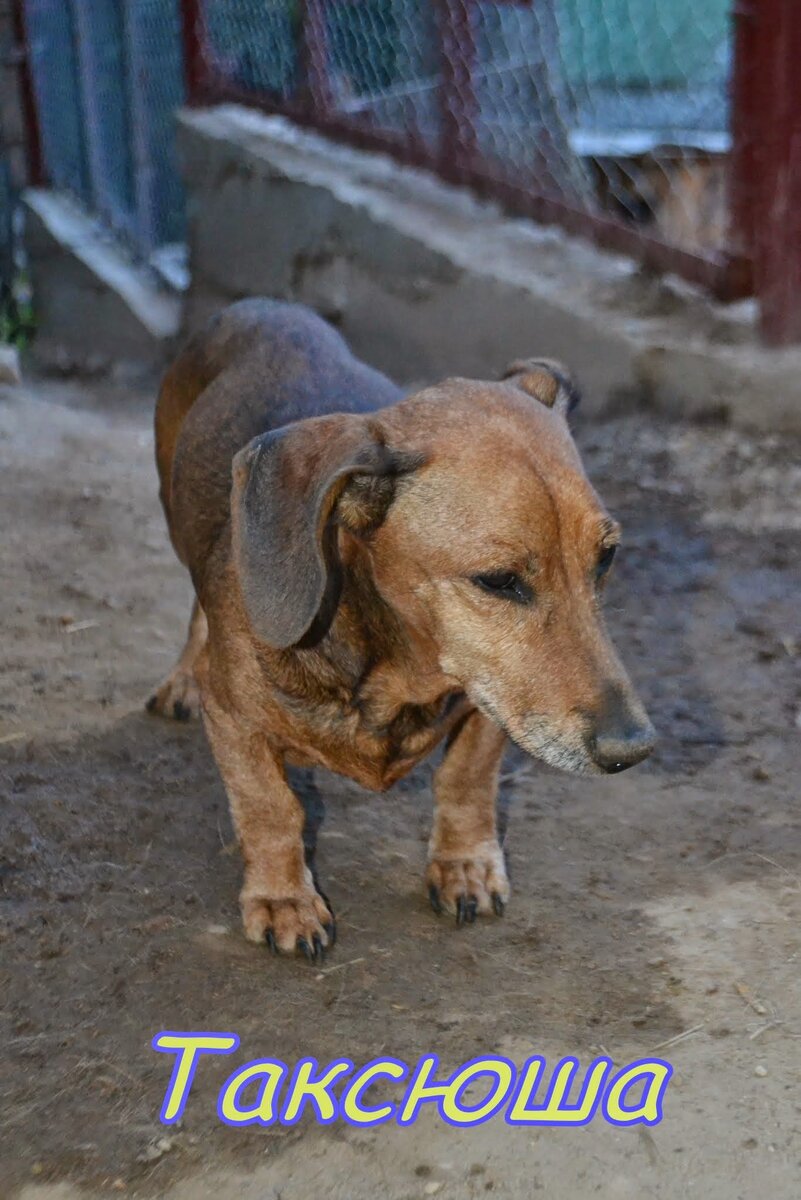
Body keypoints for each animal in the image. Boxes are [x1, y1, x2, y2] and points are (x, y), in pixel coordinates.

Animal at [149, 300, 657, 964]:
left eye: (607, 558)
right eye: (499, 580)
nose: (634, 750)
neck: (396, 670)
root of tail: (258, 305)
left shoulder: (491, 703)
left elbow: (466, 779)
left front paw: (465, 866)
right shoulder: (236, 720)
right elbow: (271, 808)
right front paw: (284, 900)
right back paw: (185, 677)